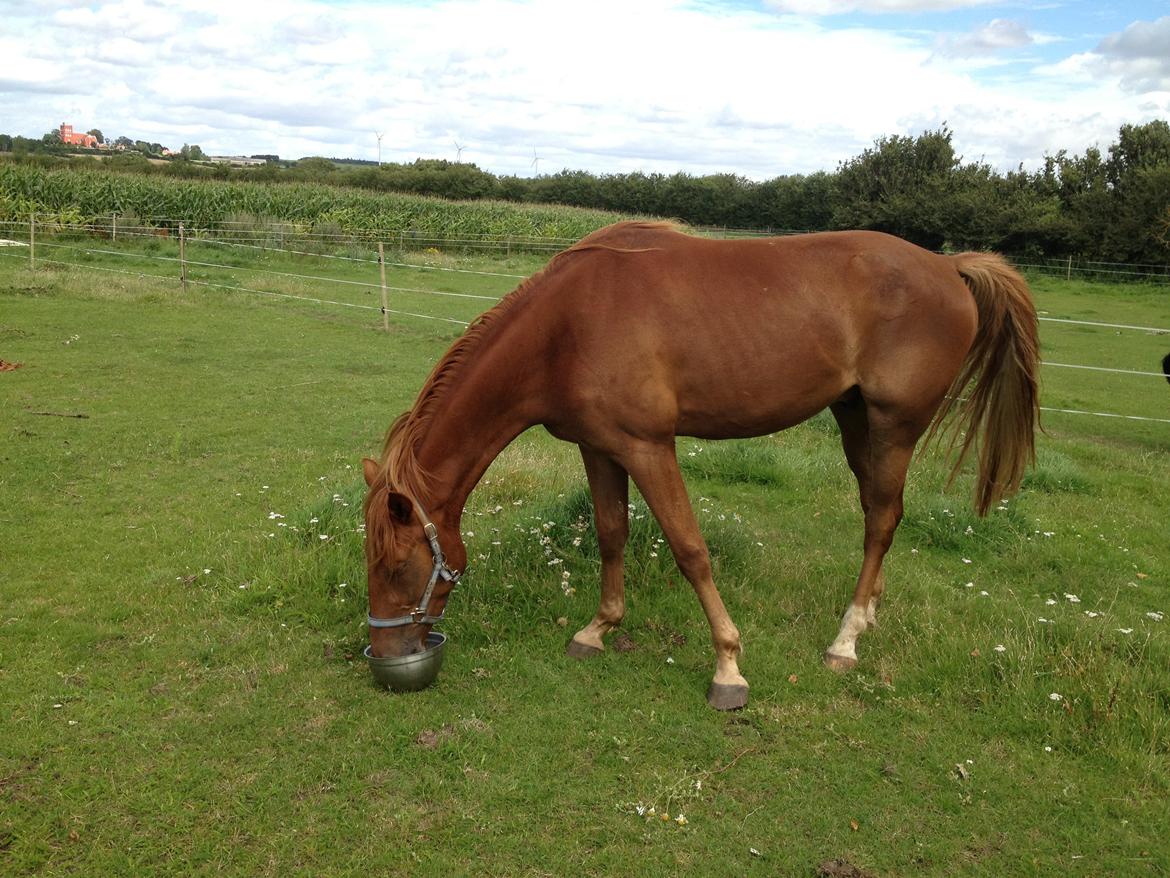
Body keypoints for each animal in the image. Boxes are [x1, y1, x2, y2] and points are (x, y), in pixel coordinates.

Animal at [360, 223, 1038, 711]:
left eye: (397, 566)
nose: (384, 647)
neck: (565, 328)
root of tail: (946, 265)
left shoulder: (647, 445)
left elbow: (690, 549)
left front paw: (728, 667)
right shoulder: (598, 447)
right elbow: (611, 533)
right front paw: (596, 630)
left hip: (895, 424)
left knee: (881, 520)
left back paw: (844, 641)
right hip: (855, 419)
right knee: (882, 510)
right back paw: (865, 615)